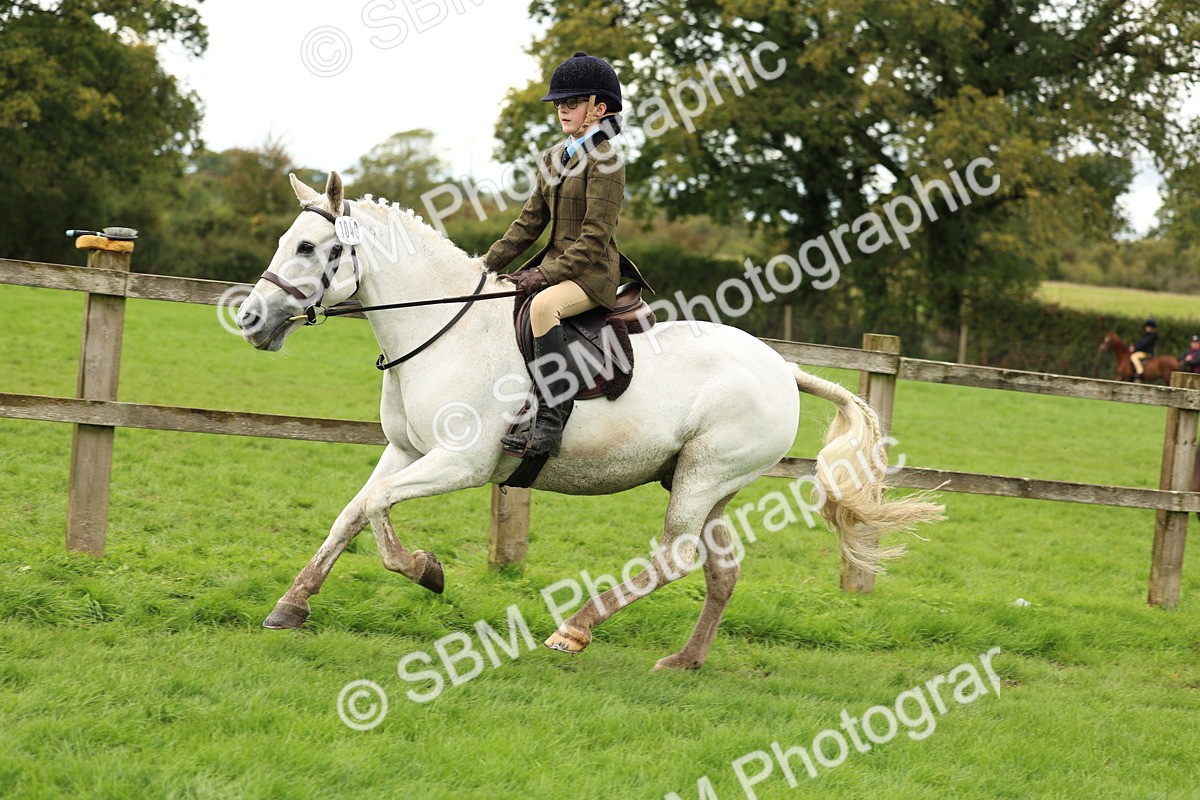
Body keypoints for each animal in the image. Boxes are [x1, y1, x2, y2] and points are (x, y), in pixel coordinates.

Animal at [233, 171, 943, 670]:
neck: (443, 329)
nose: (250, 319)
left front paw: (425, 570)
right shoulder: (406, 452)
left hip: (703, 477)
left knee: (676, 557)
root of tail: (782, 367)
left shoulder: (460, 463)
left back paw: (574, 629)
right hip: (711, 484)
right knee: (720, 571)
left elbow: (379, 508)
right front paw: (291, 605)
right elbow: (353, 512)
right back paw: (685, 660)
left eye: (309, 246)